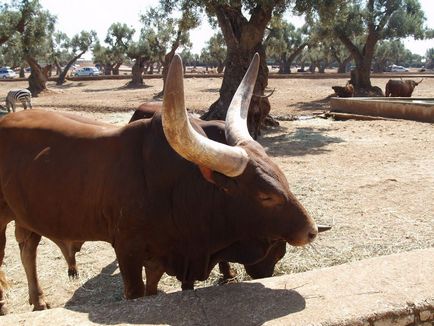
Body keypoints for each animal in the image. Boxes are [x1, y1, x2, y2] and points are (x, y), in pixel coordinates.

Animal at [0, 53, 318, 314]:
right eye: (266, 196)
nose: (311, 231)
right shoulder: (127, 250)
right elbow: (136, 292)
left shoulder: (161, 253)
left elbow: (152, 287)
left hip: (27, 214)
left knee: (27, 247)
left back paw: (39, 300)